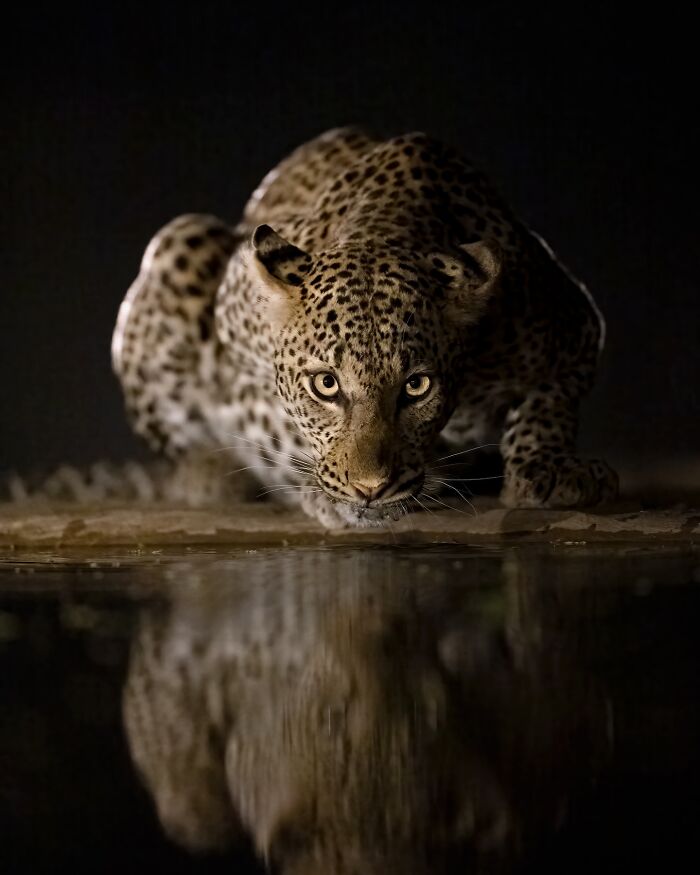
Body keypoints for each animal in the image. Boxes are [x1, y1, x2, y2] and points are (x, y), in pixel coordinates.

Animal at [112, 127, 618, 527]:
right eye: (326, 384)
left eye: (416, 386)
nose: (370, 488)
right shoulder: (237, 332)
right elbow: (272, 418)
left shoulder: (574, 324)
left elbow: (549, 402)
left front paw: (549, 469)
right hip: (182, 239)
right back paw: (207, 477)